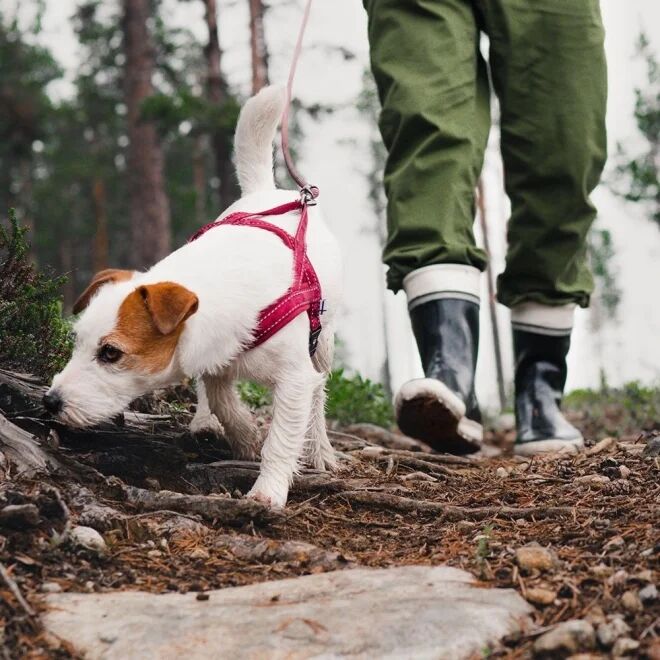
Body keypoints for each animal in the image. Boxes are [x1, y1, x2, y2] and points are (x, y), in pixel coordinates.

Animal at [45, 86, 342, 510]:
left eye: (111, 353)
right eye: (76, 343)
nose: (50, 402)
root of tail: (267, 192)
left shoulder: (294, 375)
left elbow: (284, 433)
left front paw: (268, 490)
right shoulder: (217, 357)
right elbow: (221, 399)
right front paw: (244, 437)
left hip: (323, 340)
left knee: (318, 395)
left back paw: (319, 449)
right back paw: (204, 422)